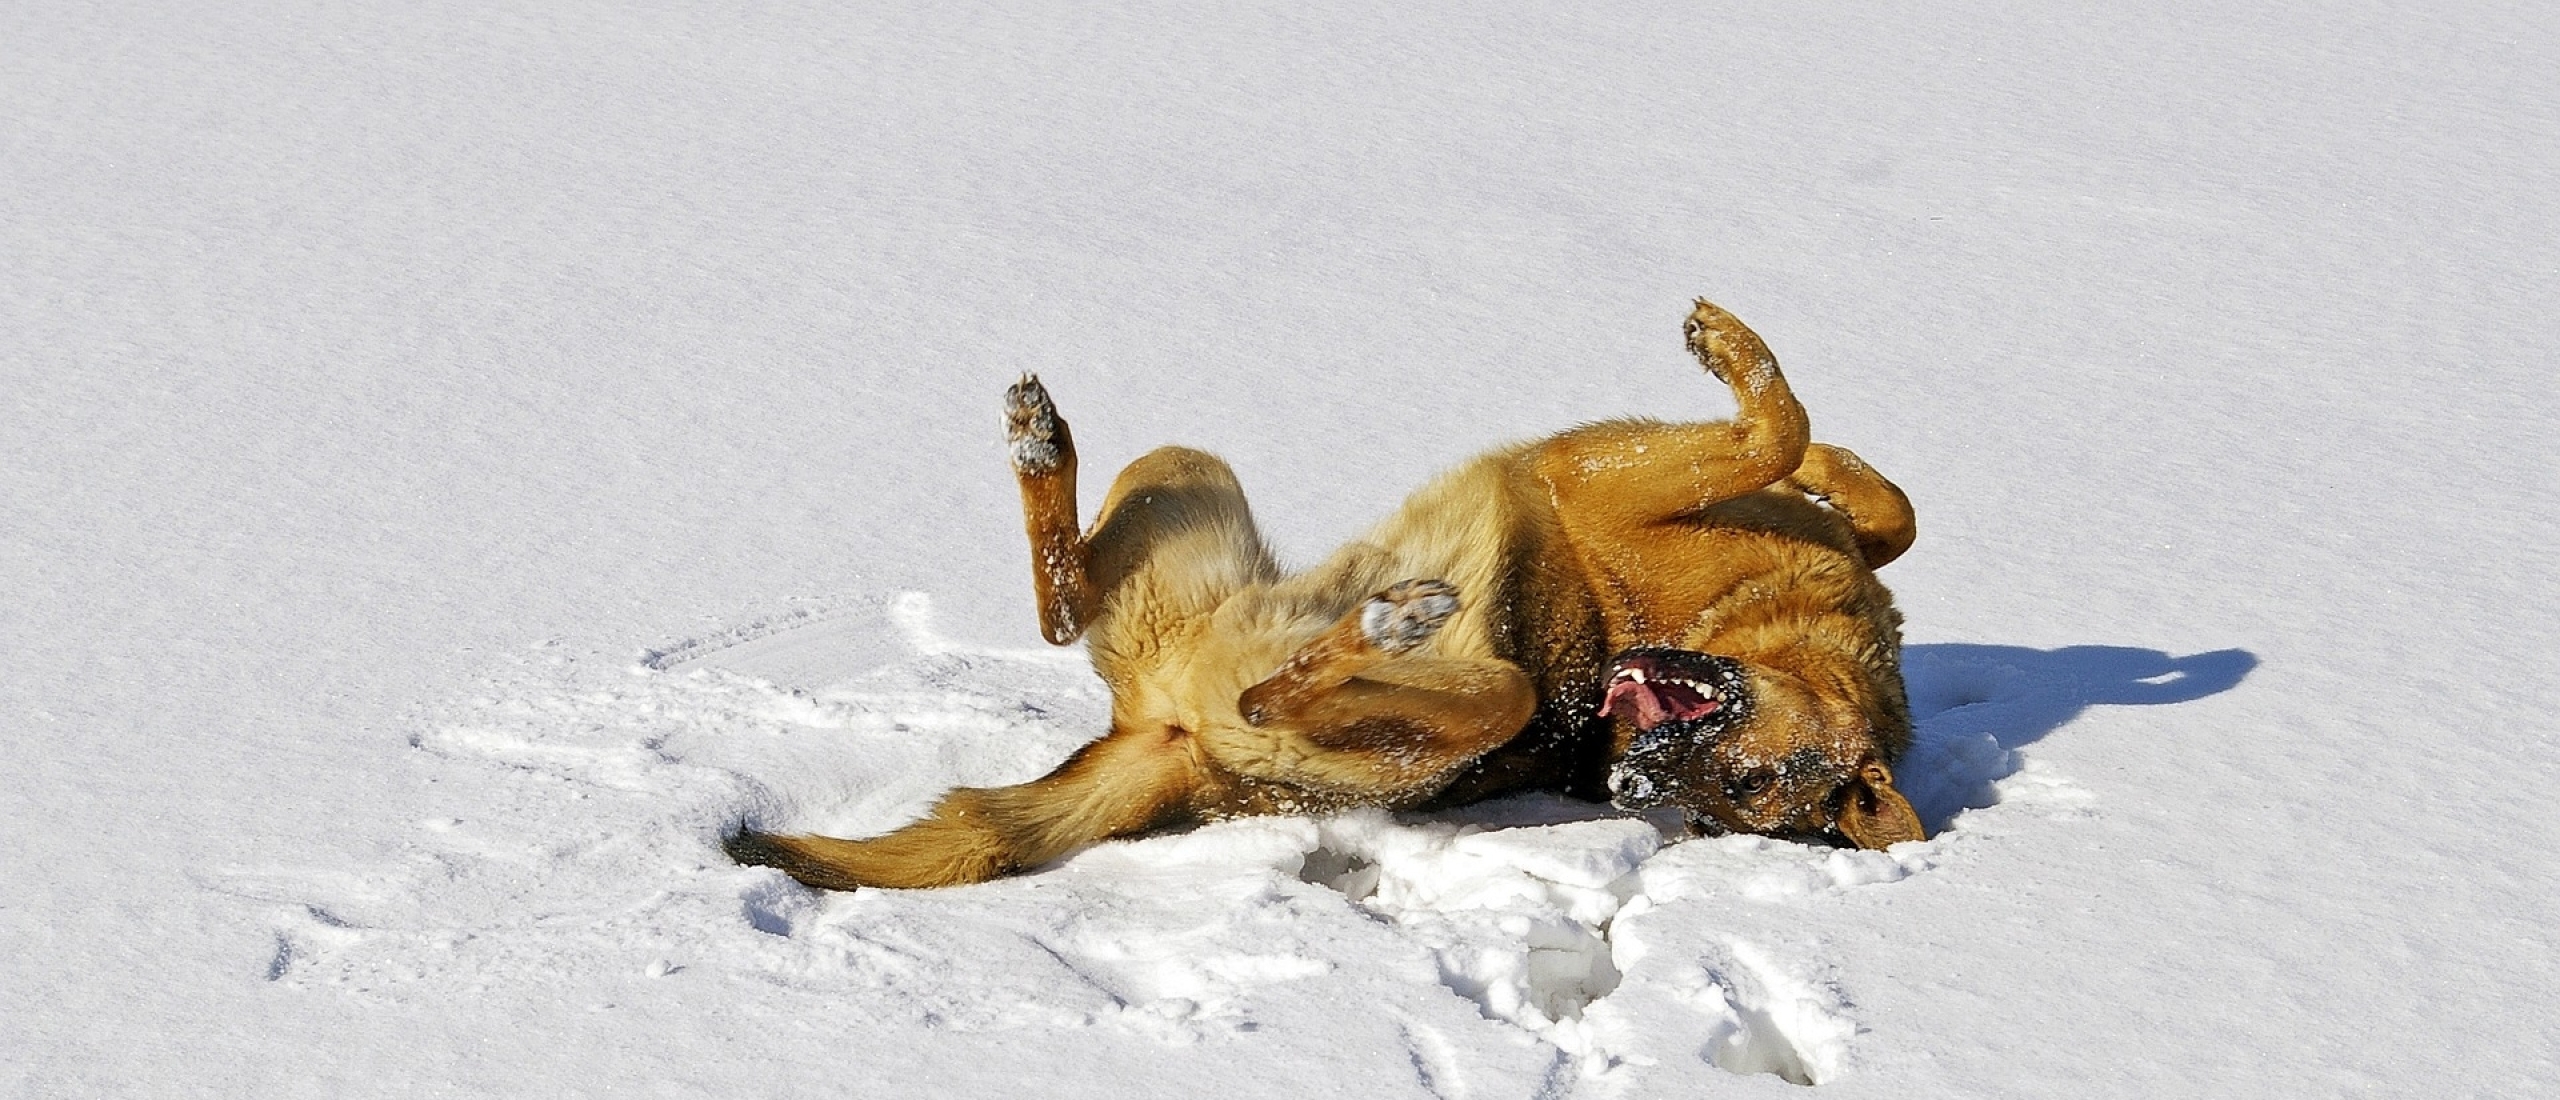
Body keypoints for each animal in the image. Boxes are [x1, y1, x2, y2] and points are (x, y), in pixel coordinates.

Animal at [721, 296, 1925, 890]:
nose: (1627, 785)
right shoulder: (1618, 472)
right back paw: (1037, 441)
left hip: (1442, 703)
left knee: (1274, 683)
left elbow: (1779, 426)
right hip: (1184, 468)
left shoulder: (1603, 475)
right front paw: (1798, 425)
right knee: (1062, 601)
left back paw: (1382, 622)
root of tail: (1175, 745)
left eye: (1734, 795)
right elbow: (1864, 487)